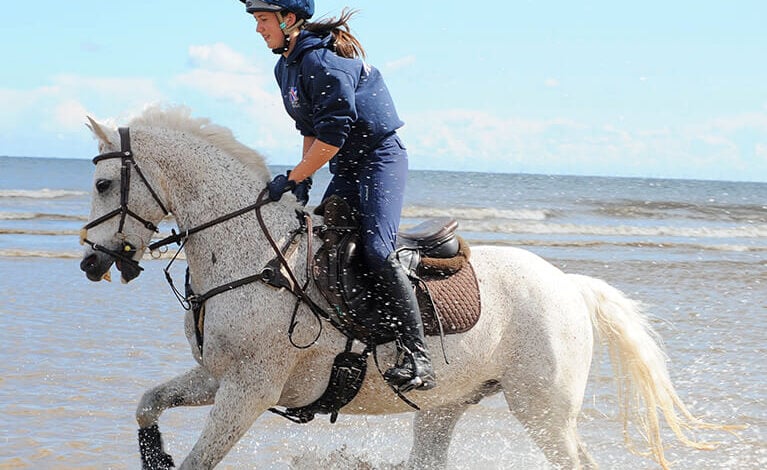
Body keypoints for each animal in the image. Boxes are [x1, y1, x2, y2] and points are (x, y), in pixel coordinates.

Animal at [79, 106, 733, 469]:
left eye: (106, 184)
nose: (90, 262)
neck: (252, 253)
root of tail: (569, 286)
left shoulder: (250, 389)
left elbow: (198, 460)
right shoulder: (217, 378)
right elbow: (147, 403)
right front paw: (154, 453)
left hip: (543, 409)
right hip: (448, 406)